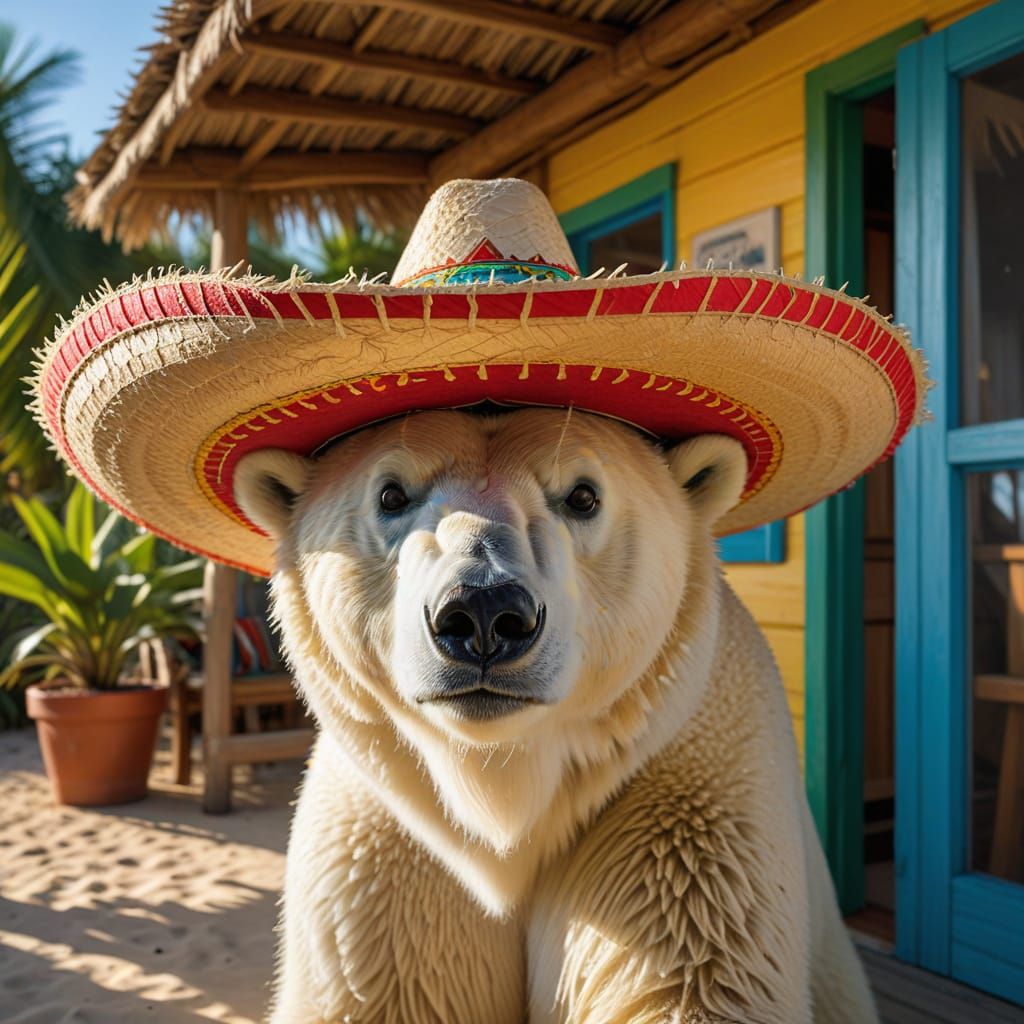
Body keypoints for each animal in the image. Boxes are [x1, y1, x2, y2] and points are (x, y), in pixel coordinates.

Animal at [233, 405, 878, 1024]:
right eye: (391, 494)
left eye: (583, 495)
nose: (483, 613)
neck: (505, 796)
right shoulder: (389, 842)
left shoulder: (685, 813)